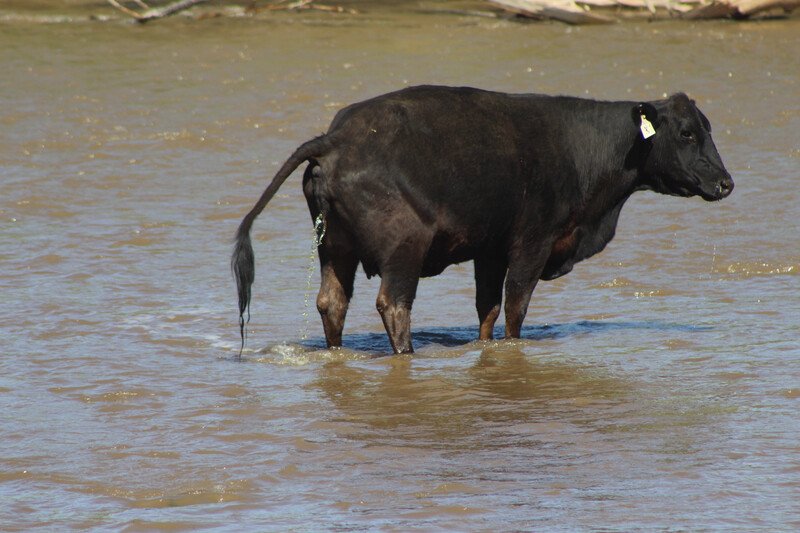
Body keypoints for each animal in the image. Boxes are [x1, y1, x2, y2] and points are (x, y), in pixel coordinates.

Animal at [232, 85, 733, 355]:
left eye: (708, 128)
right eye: (686, 133)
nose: (726, 183)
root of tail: (336, 136)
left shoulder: (490, 249)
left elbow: (487, 307)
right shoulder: (532, 241)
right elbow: (515, 306)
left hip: (334, 248)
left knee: (332, 302)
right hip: (403, 248)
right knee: (394, 304)